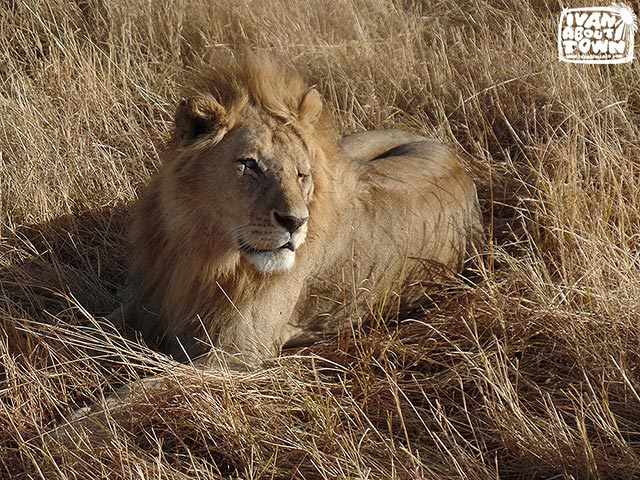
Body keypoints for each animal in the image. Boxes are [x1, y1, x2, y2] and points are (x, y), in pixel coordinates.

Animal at [114, 51, 480, 368]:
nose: (296, 222)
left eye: (301, 174)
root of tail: (453, 157)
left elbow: (133, 394)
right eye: (250, 165)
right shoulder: (144, 301)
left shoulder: (235, 355)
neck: (200, 250)